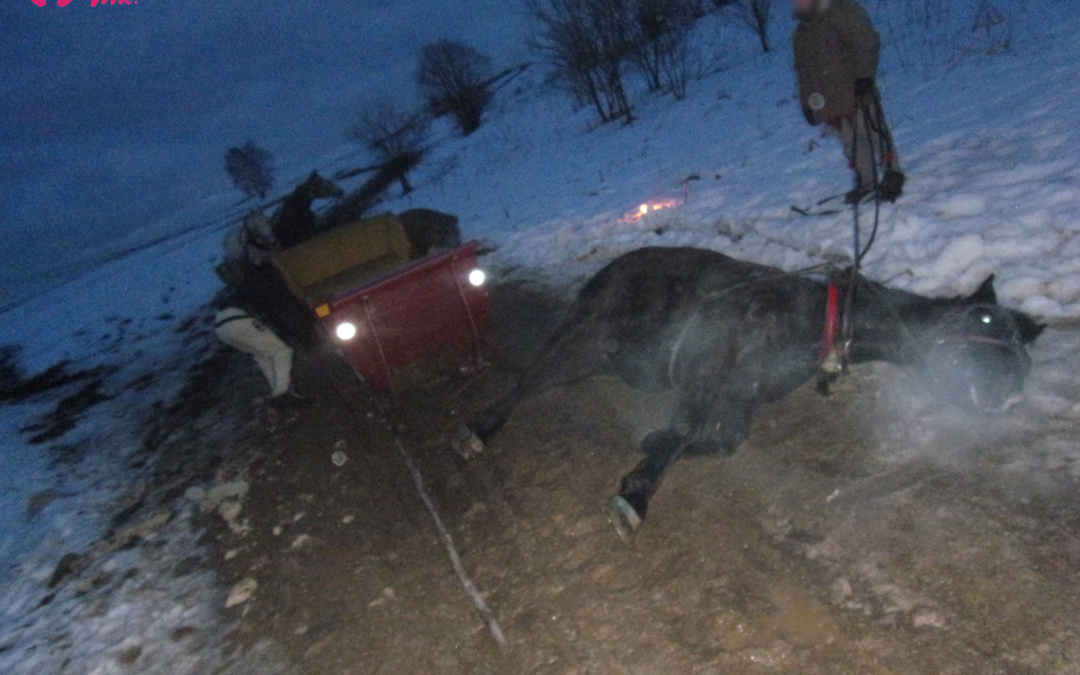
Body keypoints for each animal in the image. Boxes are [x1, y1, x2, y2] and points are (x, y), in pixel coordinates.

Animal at [466, 245, 1045, 540]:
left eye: (1023, 355)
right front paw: (636, 493)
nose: (1012, 396)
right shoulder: (705, 370)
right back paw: (479, 428)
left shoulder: (738, 397)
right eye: (984, 322)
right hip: (586, 342)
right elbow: (683, 431)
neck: (811, 319)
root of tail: (613, 265)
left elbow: (719, 442)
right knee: (529, 379)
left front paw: (649, 447)